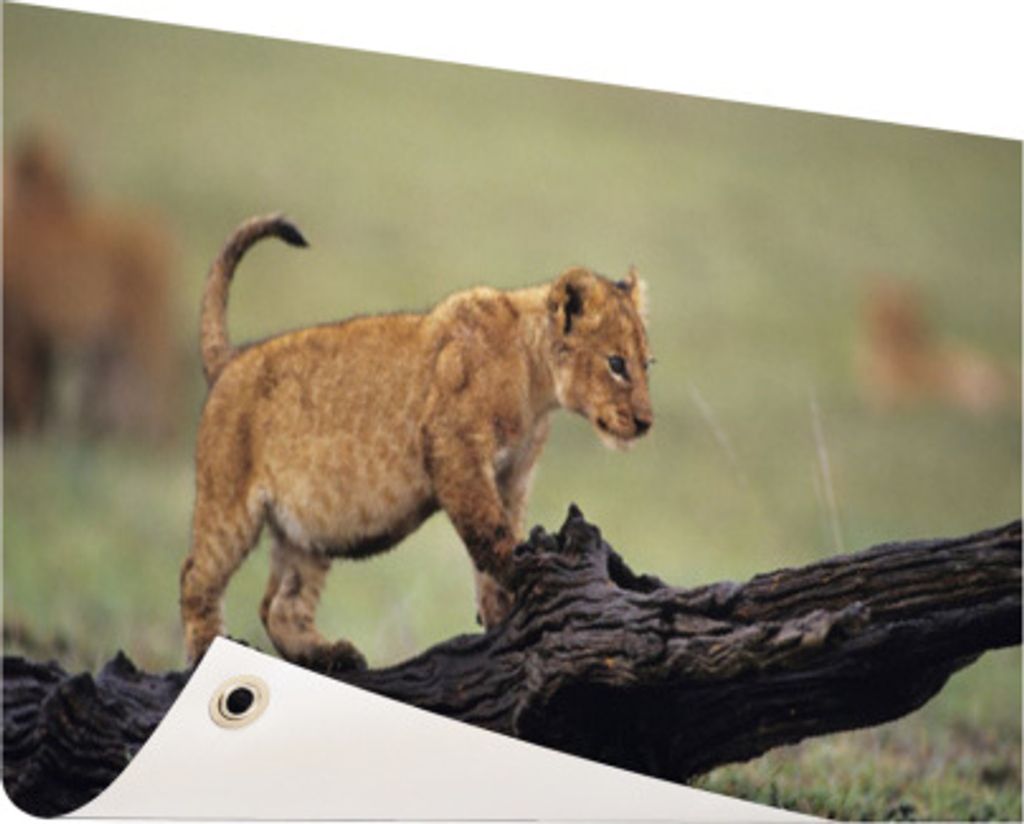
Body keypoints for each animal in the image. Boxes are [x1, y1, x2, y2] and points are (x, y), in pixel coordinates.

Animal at [180, 214, 654, 670]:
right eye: (616, 364)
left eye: (647, 363)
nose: (646, 423)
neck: (535, 383)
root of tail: (232, 358)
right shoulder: (456, 449)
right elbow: (488, 531)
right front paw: (521, 574)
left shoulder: (512, 476)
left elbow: (498, 538)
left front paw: (501, 613)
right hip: (228, 502)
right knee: (195, 577)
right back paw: (206, 650)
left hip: (305, 532)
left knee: (280, 605)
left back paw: (330, 655)